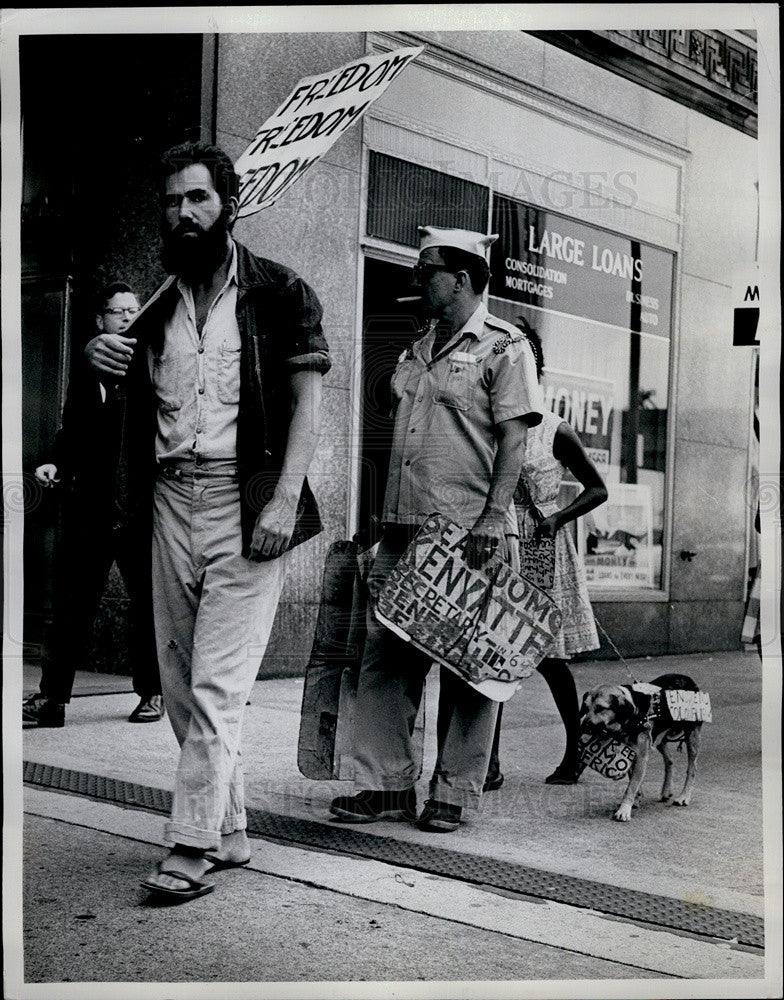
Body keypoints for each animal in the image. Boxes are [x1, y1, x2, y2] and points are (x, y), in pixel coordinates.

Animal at [580, 676, 704, 824]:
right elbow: (633, 781)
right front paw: (635, 799)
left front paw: (624, 810)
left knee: (692, 768)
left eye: (600, 708)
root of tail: (688, 680)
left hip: (691, 737)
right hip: (657, 738)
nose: (584, 727)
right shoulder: (630, 753)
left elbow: (631, 786)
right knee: (669, 760)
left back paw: (684, 796)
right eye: (586, 707)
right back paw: (666, 790)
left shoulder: (641, 757)